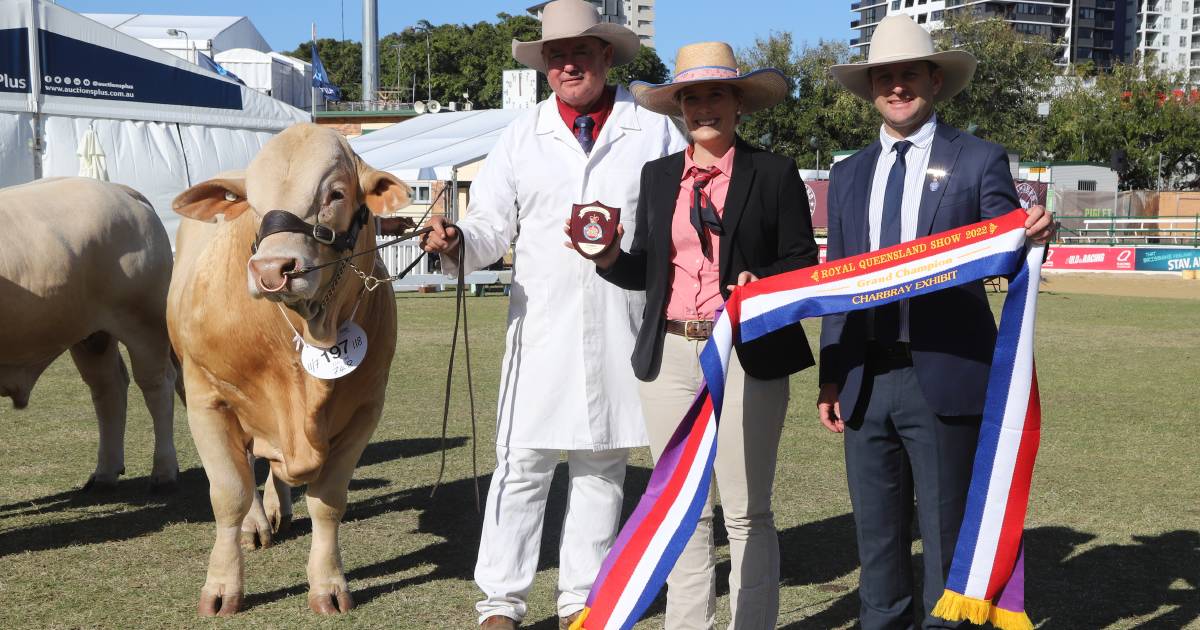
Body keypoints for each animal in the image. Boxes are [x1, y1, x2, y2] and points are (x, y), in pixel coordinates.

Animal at [0, 176, 178, 492]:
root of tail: (121, 191)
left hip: (145, 323)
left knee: (157, 387)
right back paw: (105, 473)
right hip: (92, 335)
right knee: (108, 388)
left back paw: (164, 471)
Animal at [168, 123, 412, 614]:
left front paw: (328, 584)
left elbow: (328, 501)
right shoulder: (206, 399)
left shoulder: (365, 410)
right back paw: (257, 524)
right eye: (252, 203)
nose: (270, 268)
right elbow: (230, 493)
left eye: (336, 193)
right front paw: (222, 586)